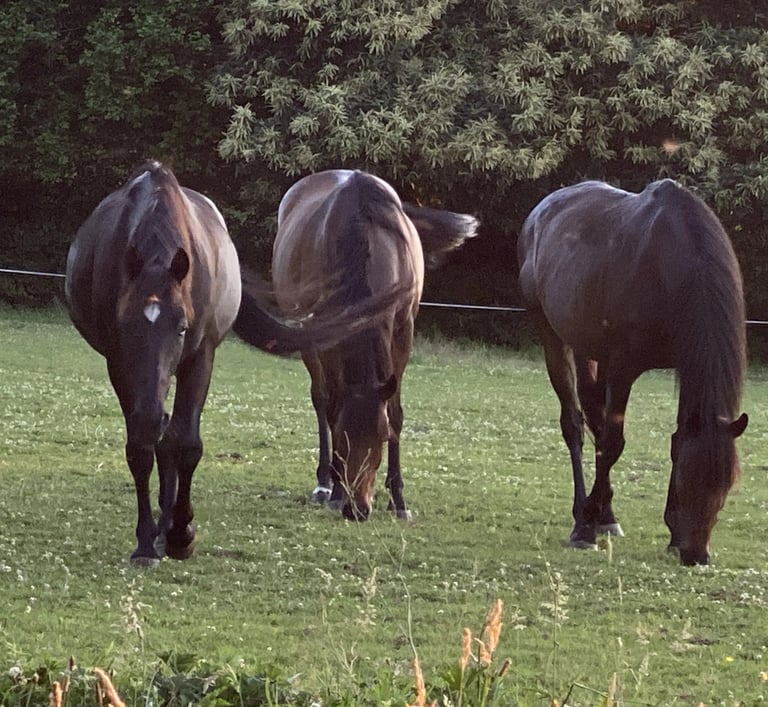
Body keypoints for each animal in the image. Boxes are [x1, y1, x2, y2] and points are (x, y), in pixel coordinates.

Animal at [236, 169, 478, 520]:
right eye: (342, 437)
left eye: (383, 435)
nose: (358, 509)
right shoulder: (328, 332)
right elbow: (332, 407)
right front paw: (336, 489)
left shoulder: (403, 330)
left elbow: (396, 411)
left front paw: (398, 500)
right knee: (321, 398)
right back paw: (324, 483)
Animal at [517, 178, 748, 565]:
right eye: (687, 480)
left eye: (727, 483)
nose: (696, 555)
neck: (670, 266)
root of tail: (541, 211)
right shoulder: (624, 366)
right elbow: (613, 444)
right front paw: (585, 529)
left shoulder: (682, 363)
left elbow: (674, 439)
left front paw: (666, 532)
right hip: (555, 338)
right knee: (575, 425)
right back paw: (584, 514)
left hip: (590, 347)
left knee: (593, 416)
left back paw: (605, 514)